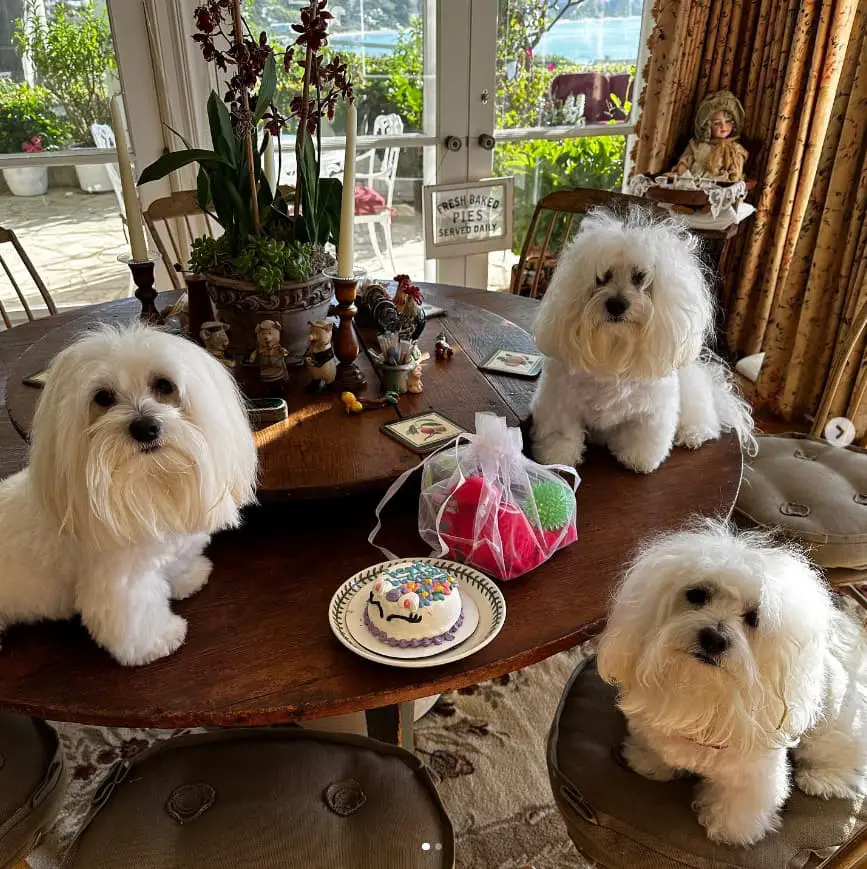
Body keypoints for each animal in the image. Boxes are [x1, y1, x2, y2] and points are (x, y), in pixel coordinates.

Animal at [0, 322, 258, 668]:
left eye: (164, 385)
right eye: (103, 397)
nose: (145, 427)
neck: (145, 485)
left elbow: (175, 564)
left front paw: (188, 576)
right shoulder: (120, 582)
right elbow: (135, 619)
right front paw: (159, 640)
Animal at [528, 207, 752, 472]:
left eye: (640, 277)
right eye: (602, 278)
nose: (616, 304)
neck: (614, 351)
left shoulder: (652, 412)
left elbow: (645, 437)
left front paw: (638, 459)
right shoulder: (560, 403)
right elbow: (563, 434)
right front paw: (557, 456)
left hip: (692, 394)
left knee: (705, 419)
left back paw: (693, 434)